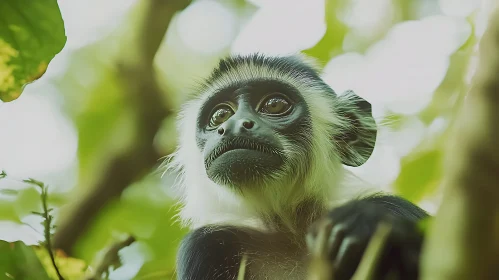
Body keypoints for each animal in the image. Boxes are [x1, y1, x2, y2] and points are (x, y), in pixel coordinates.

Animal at [169, 53, 430, 280]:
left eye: (274, 105)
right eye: (220, 115)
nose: (234, 125)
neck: (292, 231)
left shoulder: (394, 206)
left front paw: (363, 221)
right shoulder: (206, 245)